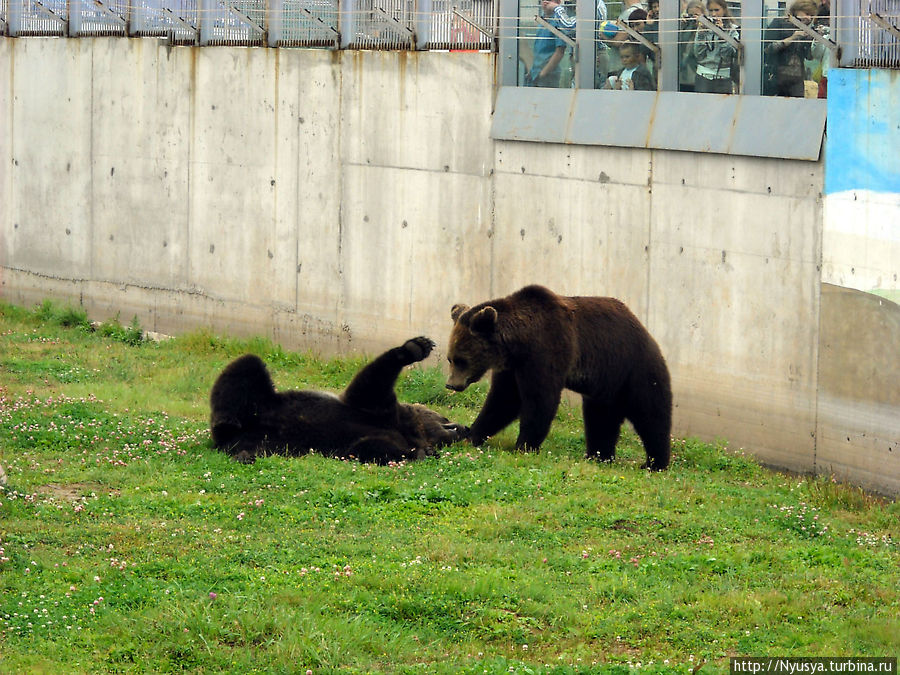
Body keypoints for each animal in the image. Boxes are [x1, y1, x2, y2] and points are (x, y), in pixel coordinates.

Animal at [446, 286, 672, 470]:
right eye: (451, 358)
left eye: (461, 360)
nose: (451, 384)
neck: (519, 342)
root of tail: (647, 332)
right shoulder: (512, 366)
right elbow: (503, 400)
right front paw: (471, 435)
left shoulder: (547, 350)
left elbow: (539, 400)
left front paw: (524, 445)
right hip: (605, 385)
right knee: (601, 419)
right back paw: (598, 456)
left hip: (634, 370)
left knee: (651, 414)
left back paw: (654, 463)